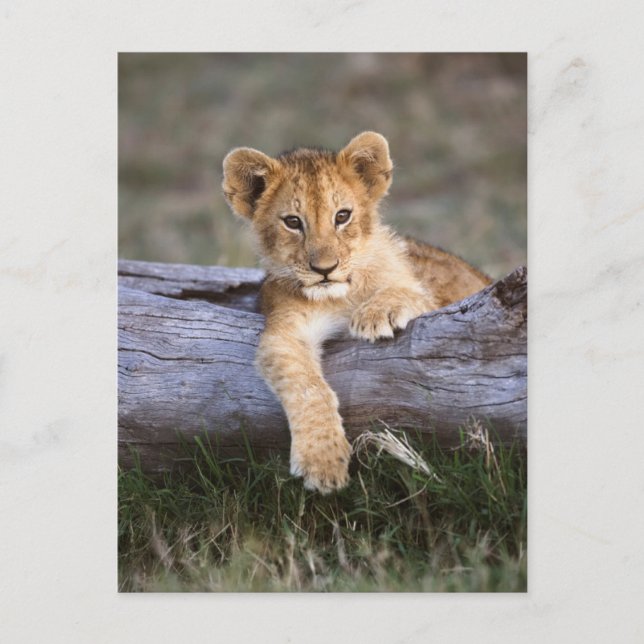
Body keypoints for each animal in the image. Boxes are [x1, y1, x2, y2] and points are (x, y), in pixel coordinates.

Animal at [223, 131, 491, 494]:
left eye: (342, 216)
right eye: (293, 222)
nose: (325, 269)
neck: (340, 297)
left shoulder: (434, 301)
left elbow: (408, 291)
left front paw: (376, 314)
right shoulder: (284, 331)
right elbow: (308, 387)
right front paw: (322, 462)